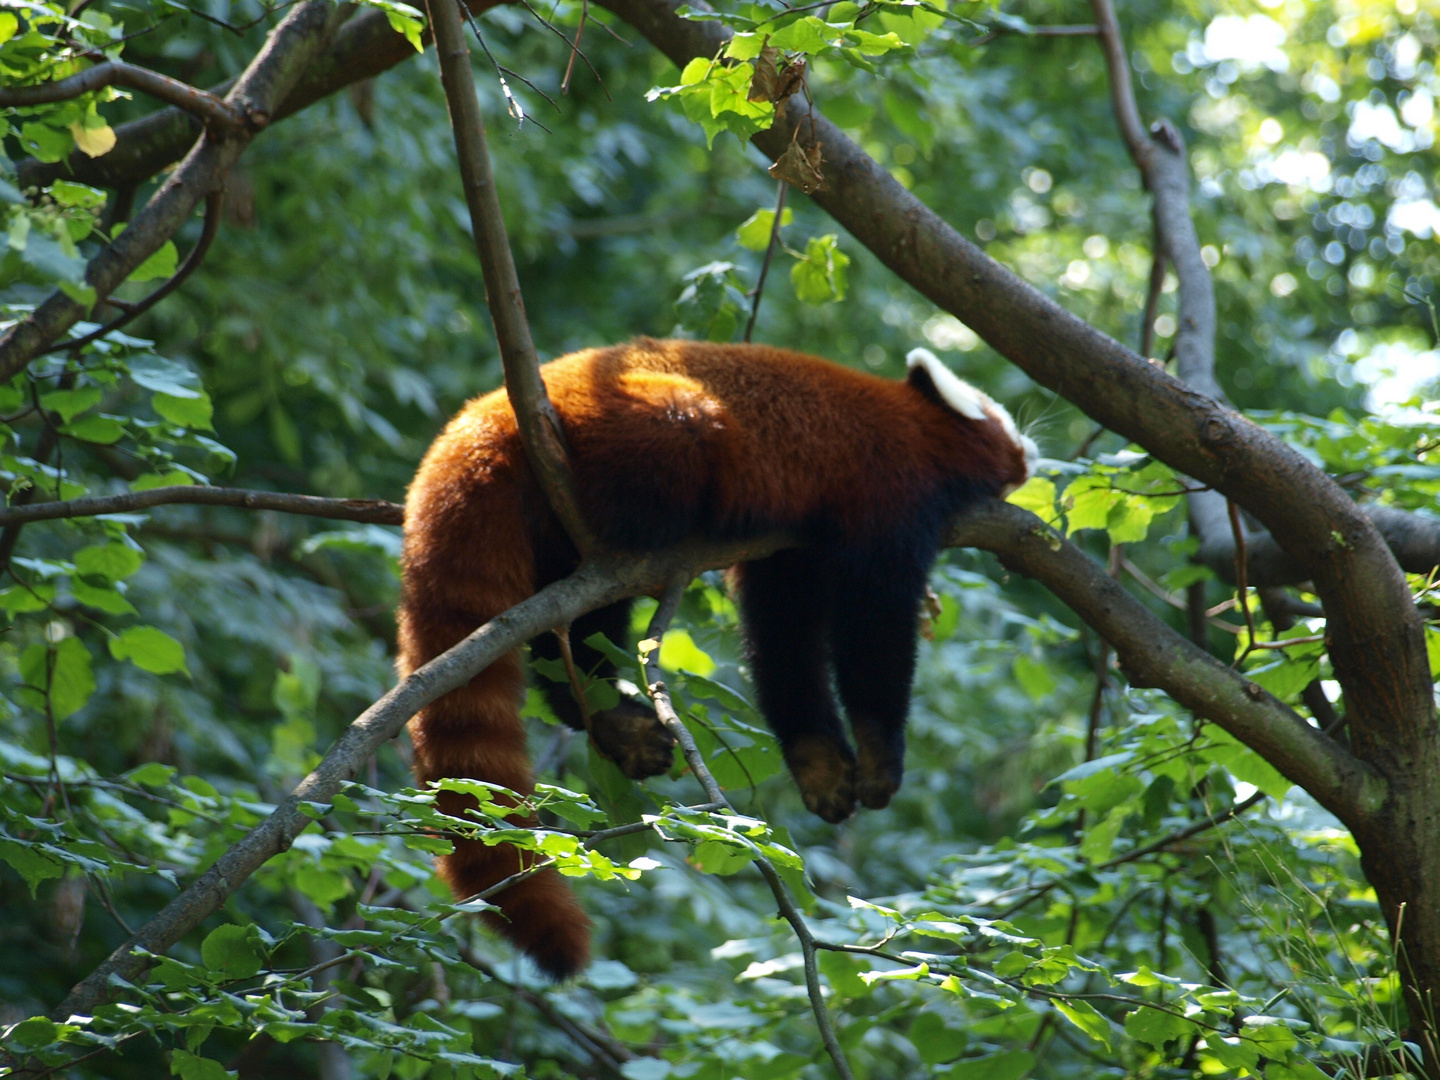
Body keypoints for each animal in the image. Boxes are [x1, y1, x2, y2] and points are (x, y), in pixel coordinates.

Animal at [400, 338, 1036, 979]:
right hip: (644, 432)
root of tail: (487, 413)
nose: (1034, 448)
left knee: (570, 642)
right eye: (1006, 423)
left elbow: (784, 643)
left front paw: (821, 766)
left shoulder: (790, 549)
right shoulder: (889, 496)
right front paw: (881, 758)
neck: (916, 422)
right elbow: (872, 634)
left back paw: (613, 720)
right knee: (609, 578)